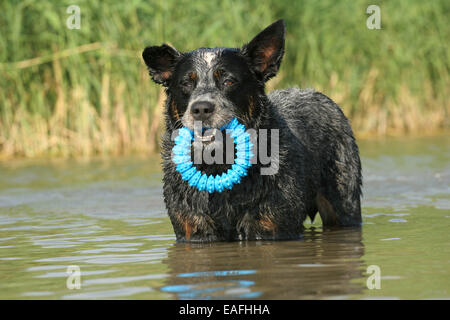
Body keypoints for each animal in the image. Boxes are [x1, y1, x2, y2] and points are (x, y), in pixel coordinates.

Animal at [143, 18, 362, 241]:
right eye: (186, 82)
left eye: (229, 81)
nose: (201, 108)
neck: (218, 163)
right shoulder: (193, 230)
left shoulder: (273, 226)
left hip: (344, 200)